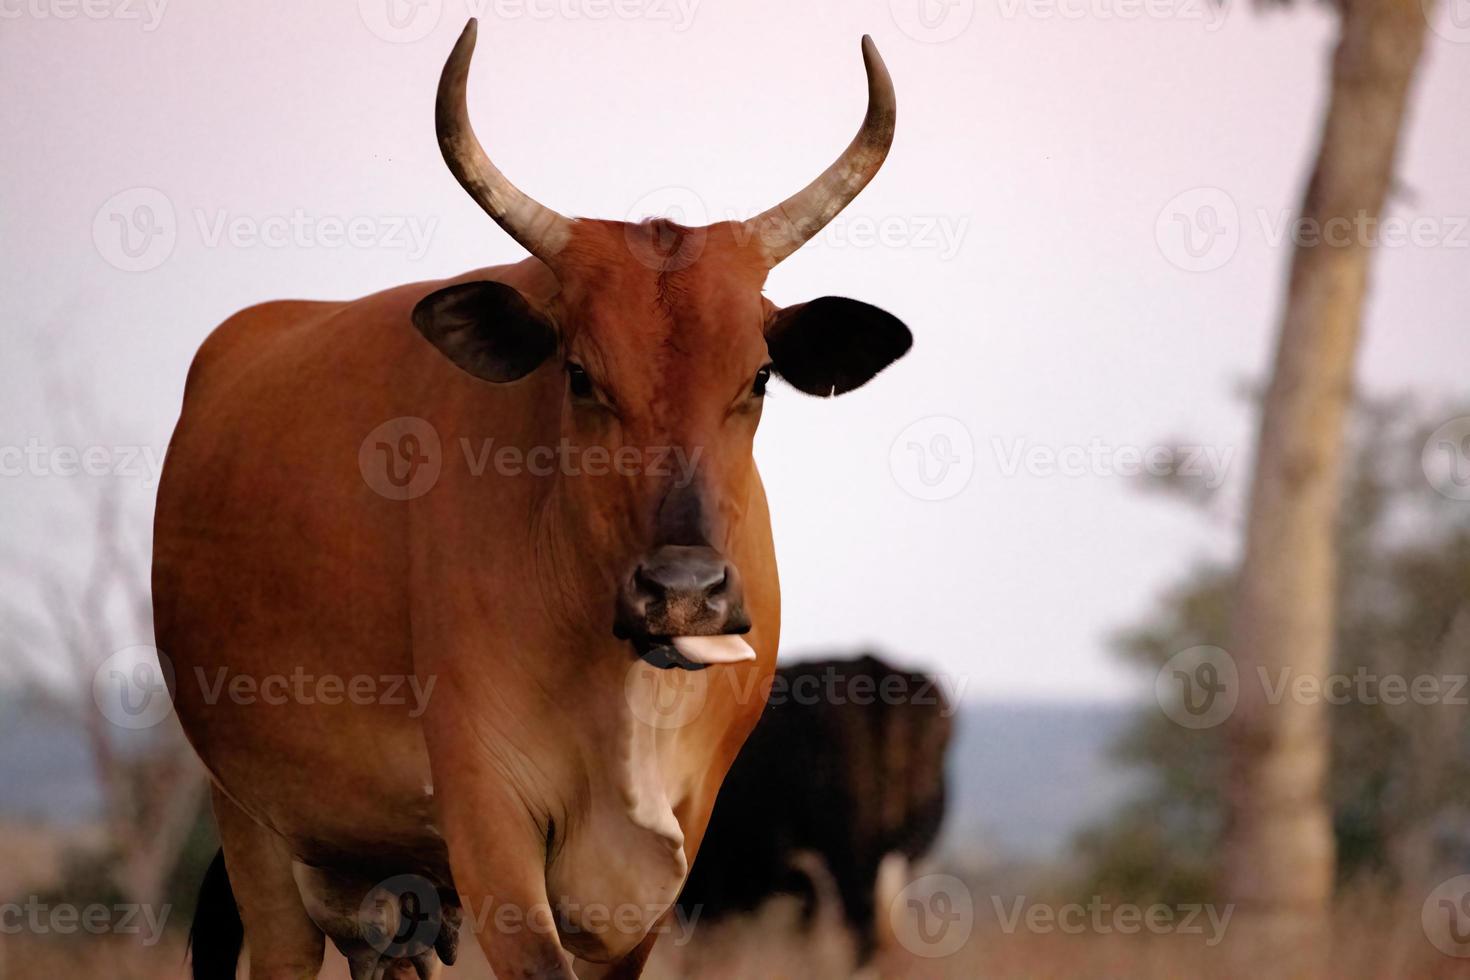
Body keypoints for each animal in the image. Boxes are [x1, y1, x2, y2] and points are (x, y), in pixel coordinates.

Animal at [160, 17, 911, 980]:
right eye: (581, 374)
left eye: (759, 377)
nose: (683, 594)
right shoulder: (489, 817)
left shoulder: (669, 857)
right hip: (253, 827)